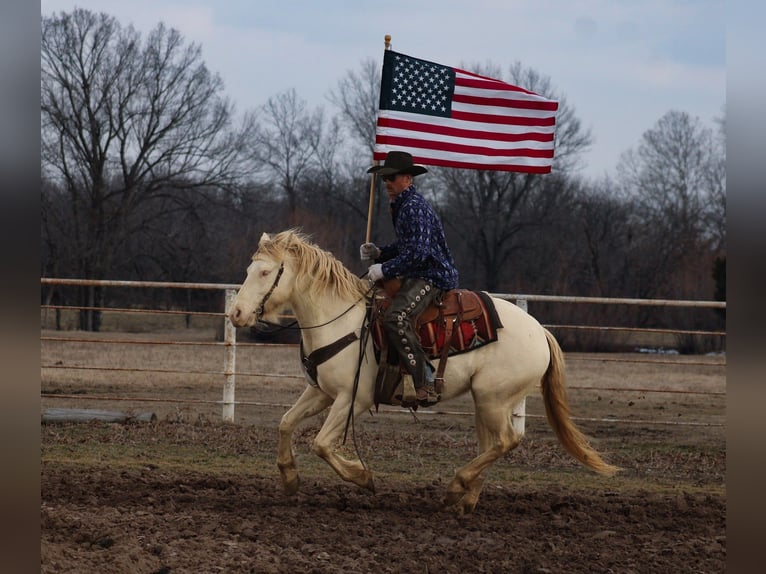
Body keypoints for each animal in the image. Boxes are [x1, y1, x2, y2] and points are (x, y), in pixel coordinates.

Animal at [228, 229, 618, 514]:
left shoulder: (354, 398)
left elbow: (322, 443)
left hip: (493, 398)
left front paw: (363, 476)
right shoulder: (321, 391)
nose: (237, 314)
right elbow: (286, 423)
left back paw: (456, 487)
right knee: (493, 444)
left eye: (265, 272)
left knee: (507, 441)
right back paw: (464, 499)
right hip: (488, 402)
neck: (340, 319)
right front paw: (290, 478)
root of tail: (541, 331)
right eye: (247, 271)